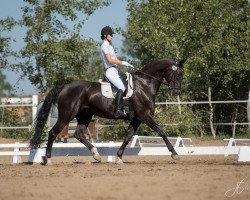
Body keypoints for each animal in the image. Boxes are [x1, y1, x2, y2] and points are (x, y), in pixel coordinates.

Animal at [30, 57, 185, 164]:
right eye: (178, 74)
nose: (176, 92)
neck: (144, 85)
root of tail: (65, 87)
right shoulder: (145, 116)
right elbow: (161, 132)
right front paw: (174, 153)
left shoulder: (137, 119)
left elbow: (128, 136)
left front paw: (118, 157)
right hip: (66, 115)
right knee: (53, 133)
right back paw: (48, 159)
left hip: (84, 116)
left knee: (79, 134)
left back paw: (96, 155)